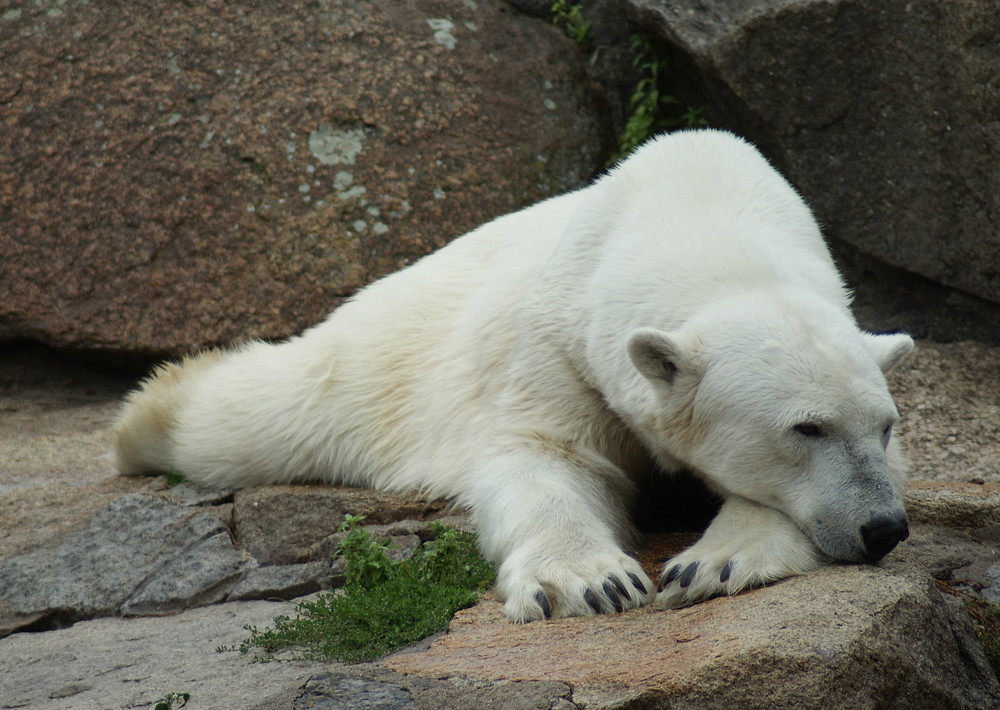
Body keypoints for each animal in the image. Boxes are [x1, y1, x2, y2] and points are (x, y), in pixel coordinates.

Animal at [115, 129, 916, 624]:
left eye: (883, 427)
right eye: (806, 427)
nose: (884, 528)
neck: (701, 213)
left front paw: (714, 562)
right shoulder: (565, 342)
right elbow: (545, 454)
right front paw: (588, 581)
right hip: (387, 358)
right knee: (266, 414)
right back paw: (146, 418)